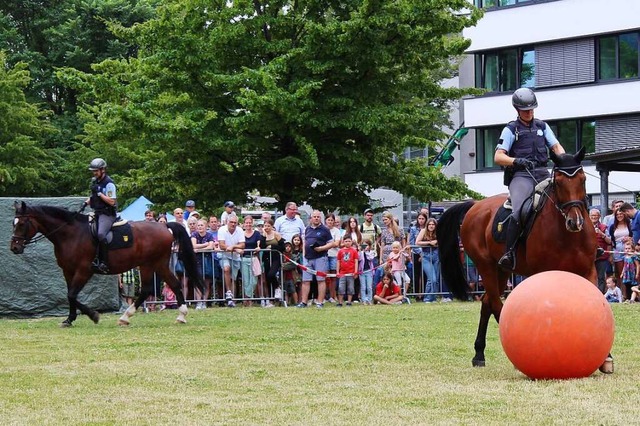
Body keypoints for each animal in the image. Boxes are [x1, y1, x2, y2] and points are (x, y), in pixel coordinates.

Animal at [10, 201, 202, 328]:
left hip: (154, 263)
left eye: (22, 223)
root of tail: (164, 227)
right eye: (13, 223)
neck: (70, 234)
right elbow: (70, 295)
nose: (14, 247)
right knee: (158, 287)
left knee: (164, 286)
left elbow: (72, 295)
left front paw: (94, 316)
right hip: (151, 265)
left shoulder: (84, 270)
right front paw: (69, 319)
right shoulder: (68, 271)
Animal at [438, 148, 612, 372]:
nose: (575, 222)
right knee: (496, 304)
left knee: (486, 302)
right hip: (485, 266)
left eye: (582, 179)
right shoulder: (543, 272)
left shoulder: (588, 270)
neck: (567, 234)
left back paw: (479, 354)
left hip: (502, 271)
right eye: (559, 182)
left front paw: (606, 357)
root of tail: (475, 206)